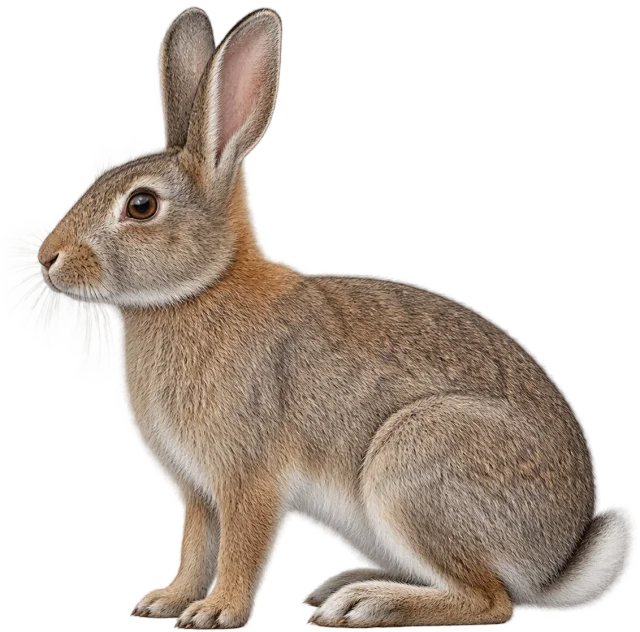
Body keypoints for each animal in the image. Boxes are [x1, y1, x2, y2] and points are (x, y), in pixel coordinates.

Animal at [5, 4, 637, 630]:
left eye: (141, 205)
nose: (48, 258)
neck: (198, 288)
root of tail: (557, 560)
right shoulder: (196, 491)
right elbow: (197, 545)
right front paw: (164, 601)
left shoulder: (249, 477)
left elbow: (240, 548)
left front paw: (215, 612)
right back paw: (343, 586)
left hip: (415, 467)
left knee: (491, 600)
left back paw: (366, 604)